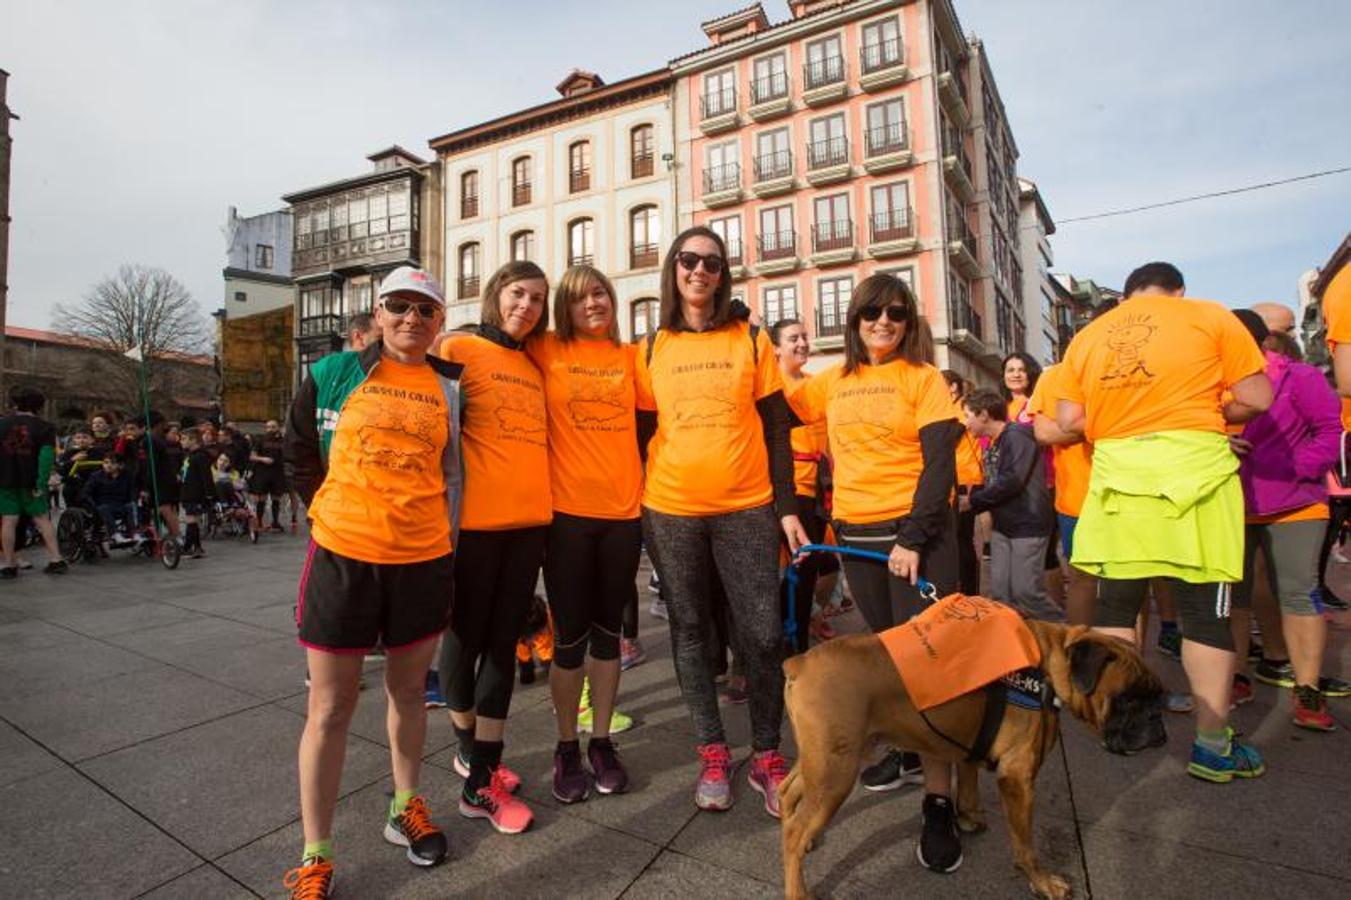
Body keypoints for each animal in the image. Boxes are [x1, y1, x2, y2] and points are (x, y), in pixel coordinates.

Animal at [778, 616, 1167, 897]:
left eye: (1156, 696)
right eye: (1128, 699)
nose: (1158, 726)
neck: (1048, 666)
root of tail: (800, 662)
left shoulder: (967, 746)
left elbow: (968, 787)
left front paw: (967, 820)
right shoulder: (1018, 779)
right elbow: (1026, 844)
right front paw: (1041, 881)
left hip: (819, 761)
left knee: (787, 794)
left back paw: (803, 838)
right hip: (835, 773)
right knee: (795, 829)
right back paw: (799, 886)